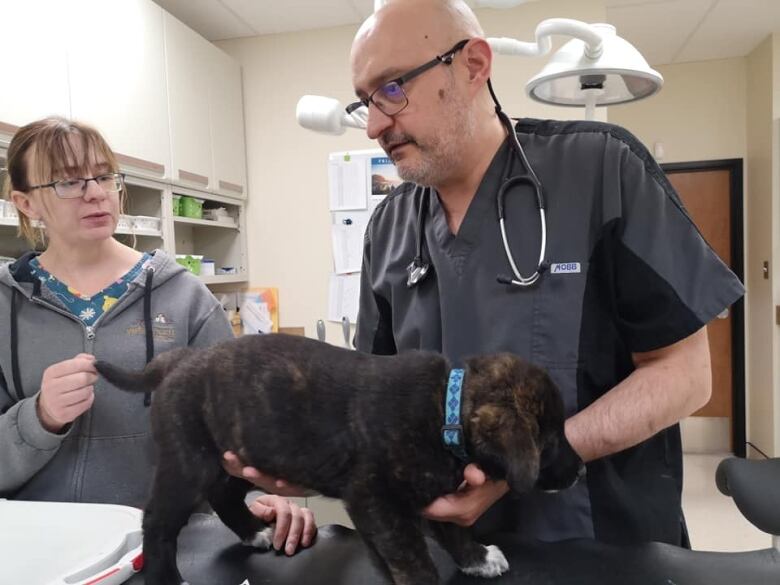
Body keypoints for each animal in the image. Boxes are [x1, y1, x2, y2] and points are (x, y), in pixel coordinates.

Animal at [96, 334, 580, 584]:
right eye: (550, 439)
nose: (580, 471)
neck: (446, 408)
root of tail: (179, 361)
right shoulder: (377, 501)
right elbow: (414, 559)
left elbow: (452, 532)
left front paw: (477, 558)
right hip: (187, 461)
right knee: (158, 521)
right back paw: (165, 578)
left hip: (235, 453)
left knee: (224, 495)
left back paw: (254, 531)